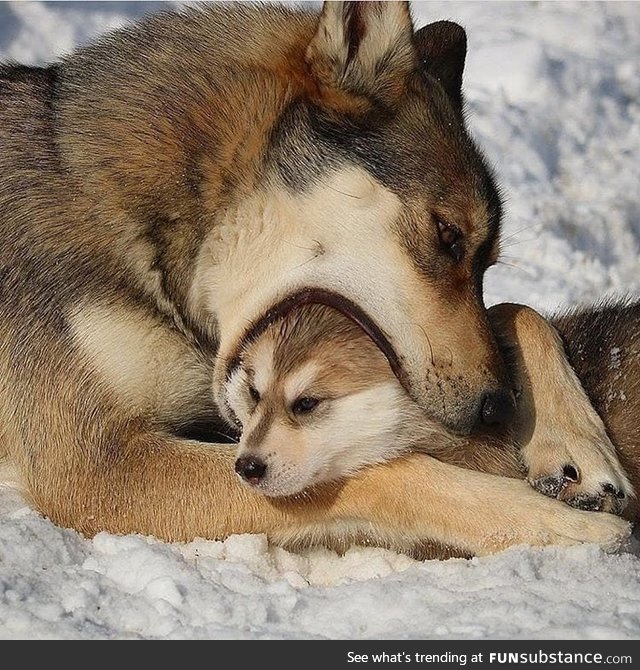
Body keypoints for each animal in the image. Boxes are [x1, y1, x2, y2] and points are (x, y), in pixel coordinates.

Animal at [0, 1, 632, 556]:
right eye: (448, 235)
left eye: (486, 261)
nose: (496, 407)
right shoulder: (97, 466)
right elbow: (395, 471)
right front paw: (553, 524)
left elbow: (517, 309)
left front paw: (576, 443)